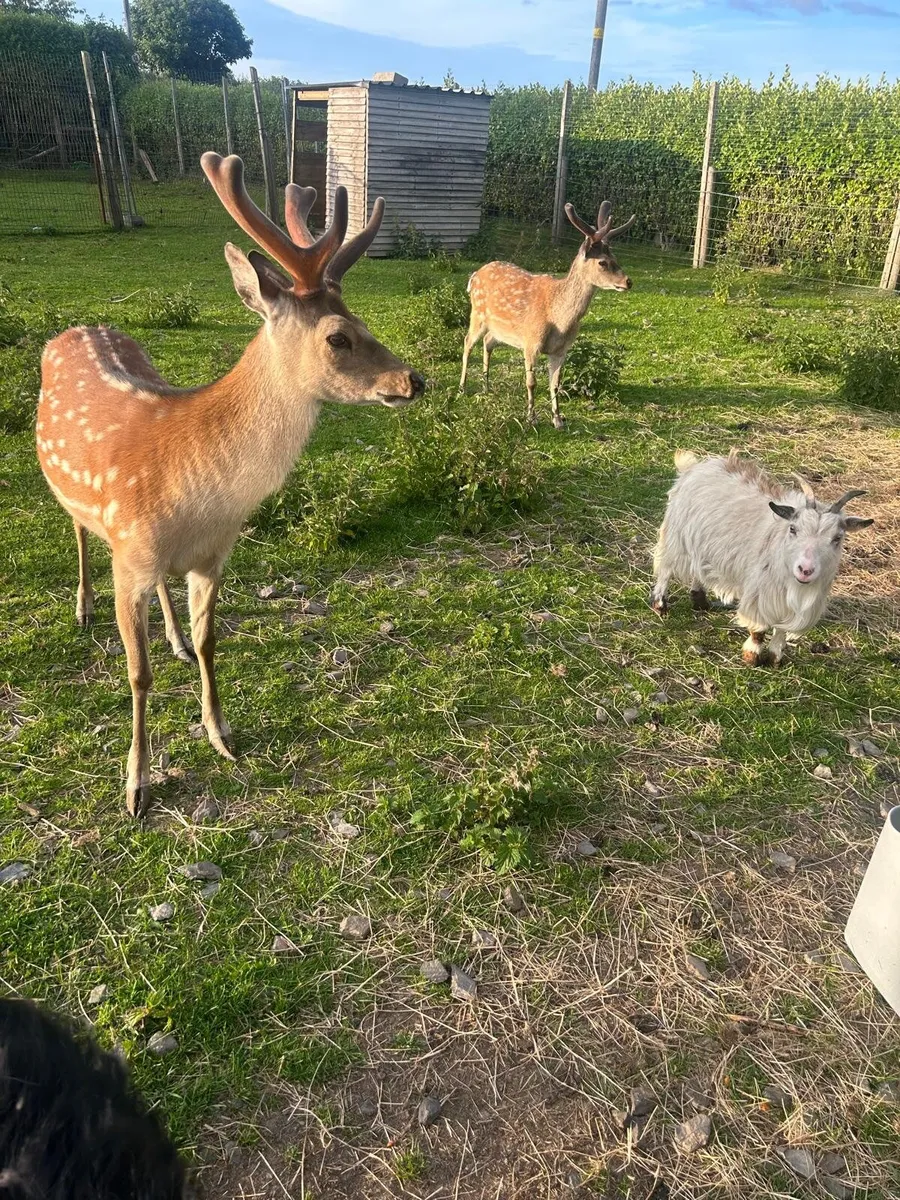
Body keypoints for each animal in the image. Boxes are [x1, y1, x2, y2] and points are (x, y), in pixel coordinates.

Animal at [35, 151, 424, 818]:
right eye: (338, 336)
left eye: (364, 320)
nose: (413, 380)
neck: (195, 496)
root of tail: (73, 328)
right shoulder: (127, 556)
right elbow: (136, 675)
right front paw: (136, 784)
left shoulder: (214, 555)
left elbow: (211, 639)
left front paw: (220, 732)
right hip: (73, 498)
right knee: (79, 529)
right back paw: (83, 607)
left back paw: (171, 638)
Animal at [459, 200, 635, 429]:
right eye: (602, 262)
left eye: (615, 257)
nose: (628, 282)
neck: (558, 317)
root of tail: (474, 275)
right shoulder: (531, 342)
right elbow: (531, 382)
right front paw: (531, 417)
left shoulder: (561, 349)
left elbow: (556, 384)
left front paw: (558, 419)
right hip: (478, 314)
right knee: (467, 342)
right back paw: (462, 388)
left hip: (499, 329)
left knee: (488, 342)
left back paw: (486, 387)